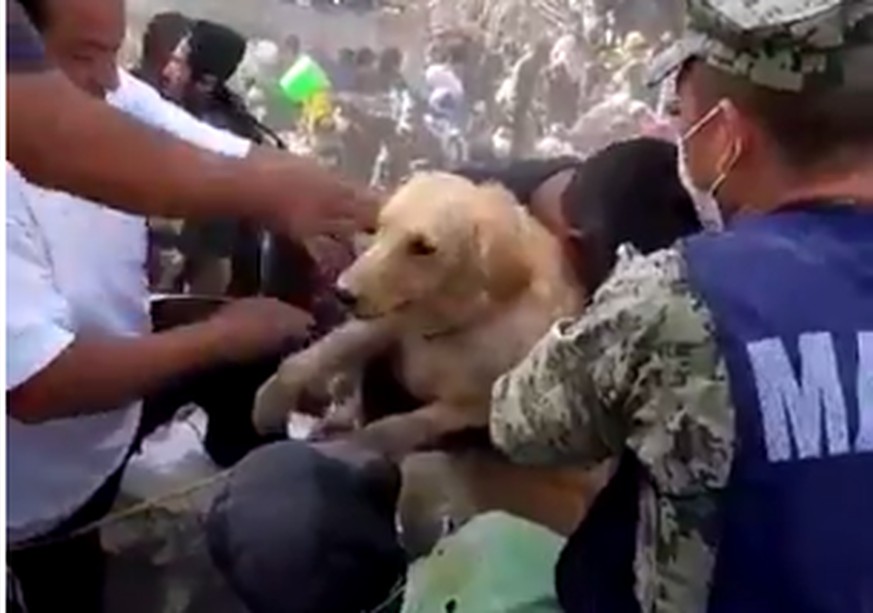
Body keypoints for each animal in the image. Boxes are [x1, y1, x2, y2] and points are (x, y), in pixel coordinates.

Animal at [252, 171, 608, 548]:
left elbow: (399, 426)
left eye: (423, 247)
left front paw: (353, 446)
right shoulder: (385, 324)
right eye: (382, 226)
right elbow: (318, 355)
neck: (461, 324)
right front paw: (272, 401)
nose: (342, 292)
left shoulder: (473, 406)